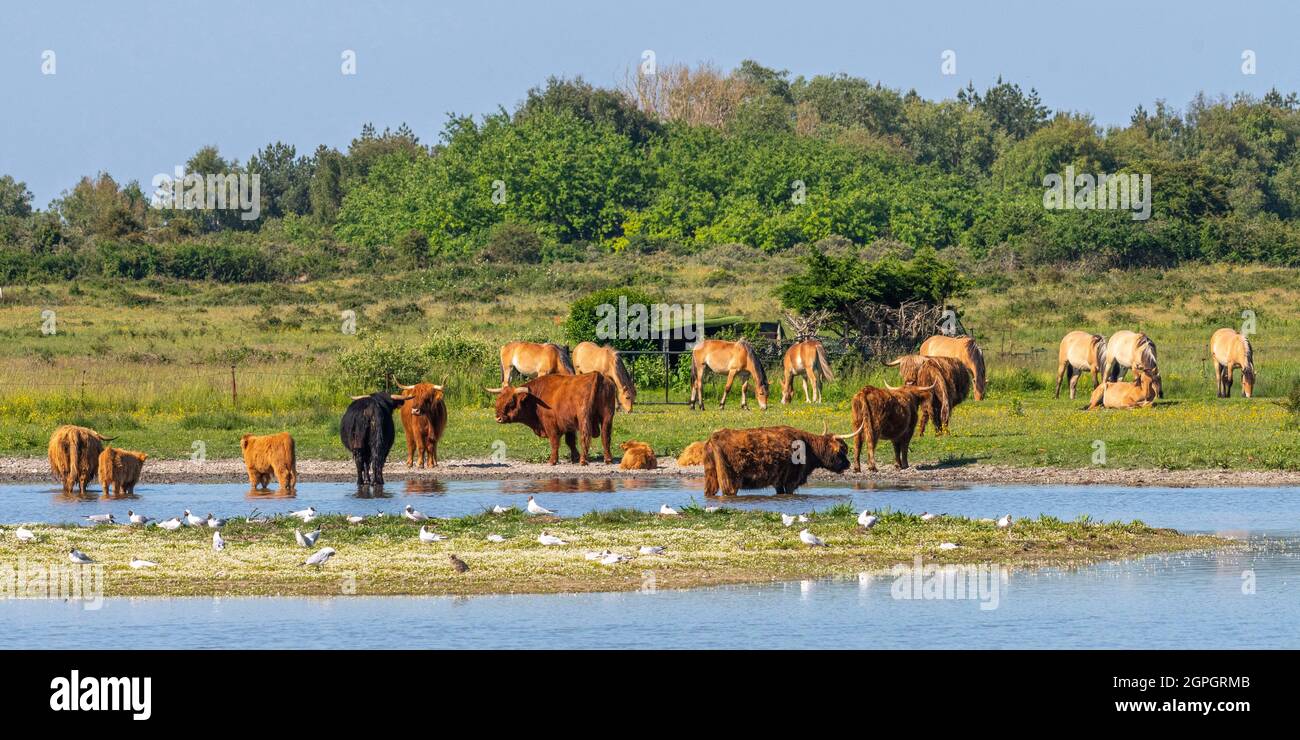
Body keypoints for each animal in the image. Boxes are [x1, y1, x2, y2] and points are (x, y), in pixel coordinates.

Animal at [486, 371, 616, 465]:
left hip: (584, 418)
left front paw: (553, 461)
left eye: (511, 402)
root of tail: (596, 375)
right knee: (606, 436)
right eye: (498, 400)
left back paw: (583, 460)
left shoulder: (551, 424)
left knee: (585, 437)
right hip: (607, 416)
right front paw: (574, 457)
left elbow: (554, 442)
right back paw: (608, 459)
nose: (498, 418)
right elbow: (570, 442)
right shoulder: (569, 424)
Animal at [702, 421, 863, 496]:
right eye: (842, 449)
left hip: (711, 477)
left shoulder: (778, 481)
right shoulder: (791, 480)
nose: (848, 464)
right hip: (730, 481)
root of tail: (714, 437)